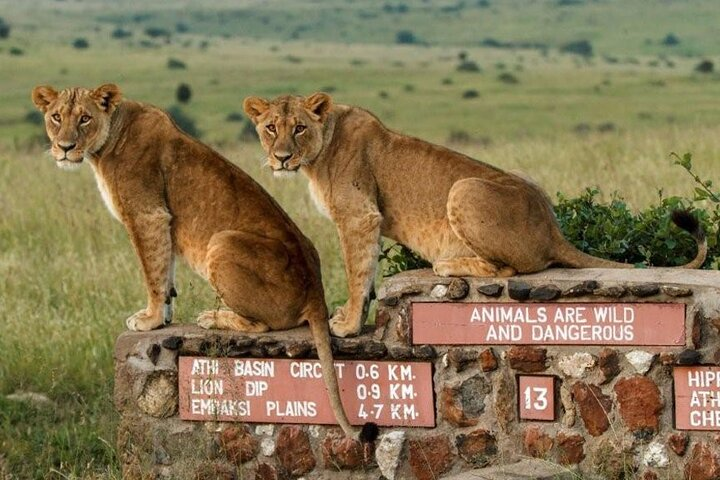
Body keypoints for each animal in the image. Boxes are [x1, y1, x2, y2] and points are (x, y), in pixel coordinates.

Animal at [33, 84, 354, 436]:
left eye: (85, 118)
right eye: (56, 117)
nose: (65, 148)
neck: (106, 143)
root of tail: (316, 292)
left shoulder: (148, 215)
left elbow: (152, 272)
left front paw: (149, 320)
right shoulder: (162, 223)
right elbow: (165, 272)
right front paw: (164, 317)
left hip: (222, 241)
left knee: (263, 324)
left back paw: (212, 317)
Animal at [245, 91, 704, 338]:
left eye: (298, 127)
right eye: (270, 127)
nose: (281, 158)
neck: (318, 151)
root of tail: (553, 228)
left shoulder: (360, 216)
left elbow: (358, 270)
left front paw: (347, 325)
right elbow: (366, 272)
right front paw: (347, 317)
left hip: (463, 188)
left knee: (511, 269)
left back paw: (447, 265)